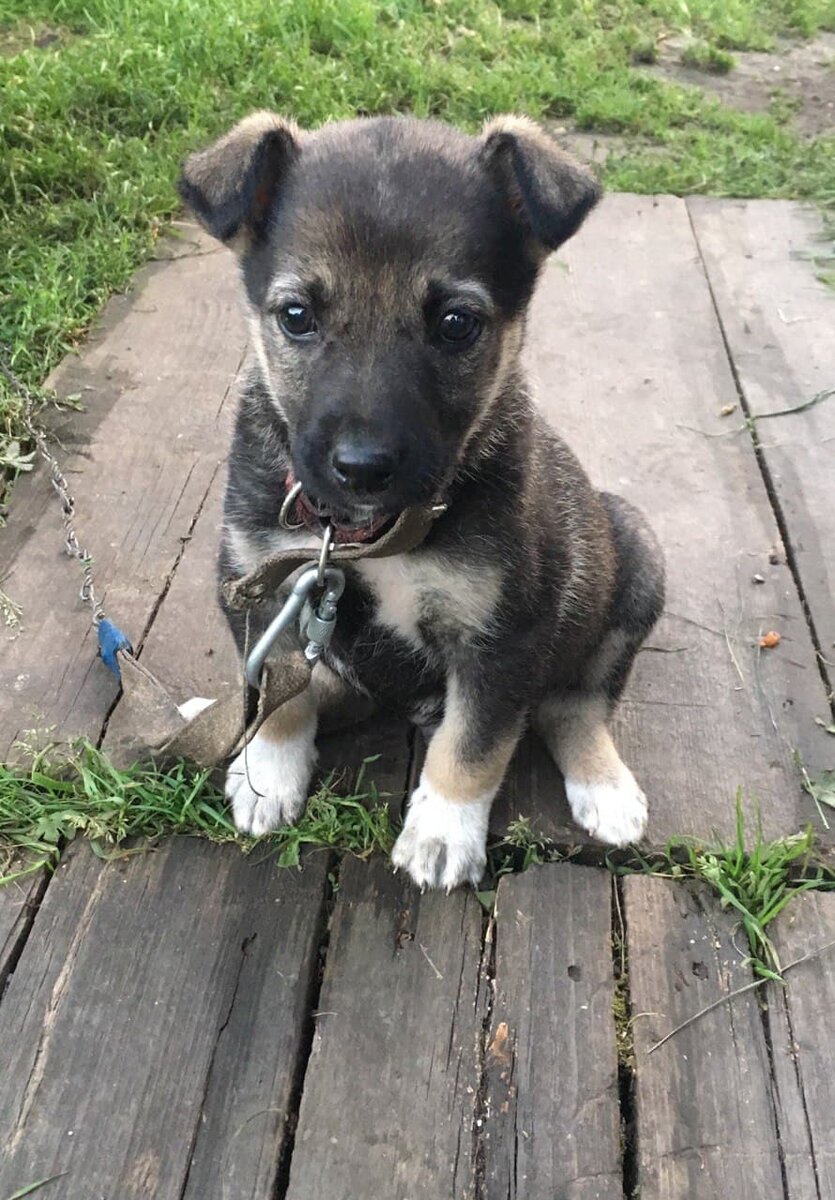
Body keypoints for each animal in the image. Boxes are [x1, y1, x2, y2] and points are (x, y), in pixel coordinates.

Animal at [177, 110, 667, 892]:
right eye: (295, 315)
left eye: (456, 323)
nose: (361, 469)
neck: (367, 535)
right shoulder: (256, 581)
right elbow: (282, 695)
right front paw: (267, 771)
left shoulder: (501, 637)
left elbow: (472, 747)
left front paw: (440, 832)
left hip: (634, 561)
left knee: (574, 704)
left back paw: (604, 787)